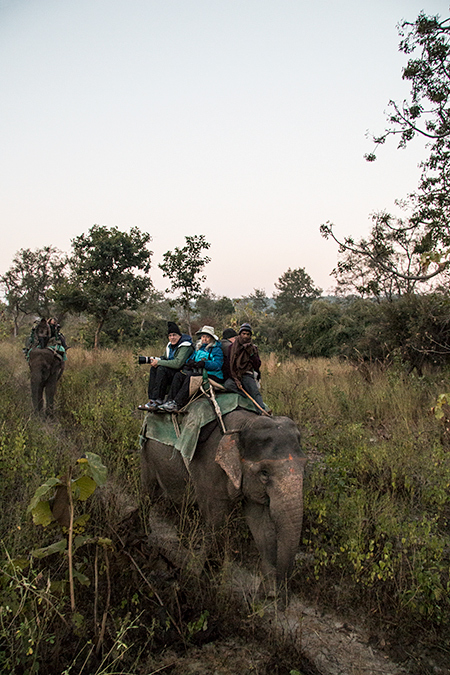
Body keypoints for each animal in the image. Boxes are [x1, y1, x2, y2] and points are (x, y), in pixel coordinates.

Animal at [142, 406, 308, 608]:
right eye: (264, 473)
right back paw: (144, 536)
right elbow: (216, 521)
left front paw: (266, 595)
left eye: (304, 468)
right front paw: (195, 578)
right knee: (147, 492)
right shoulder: (210, 469)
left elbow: (261, 525)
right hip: (147, 453)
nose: (281, 601)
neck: (245, 424)